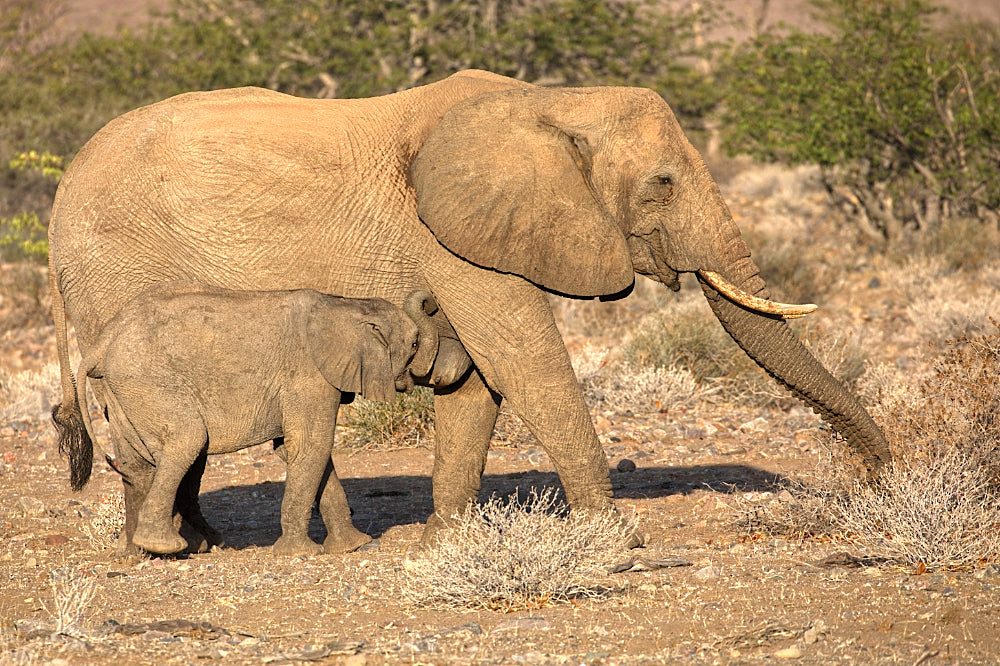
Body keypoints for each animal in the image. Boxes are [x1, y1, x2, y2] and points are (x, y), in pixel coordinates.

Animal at [66, 280, 434, 556]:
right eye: (415, 344)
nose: (429, 299)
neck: (344, 304)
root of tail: (102, 342)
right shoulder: (309, 375)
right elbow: (311, 446)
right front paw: (301, 554)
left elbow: (301, 450)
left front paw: (352, 546)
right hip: (147, 382)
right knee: (188, 440)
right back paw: (166, 546)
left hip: (121, 392)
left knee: (139, 465)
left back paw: (141, 553)